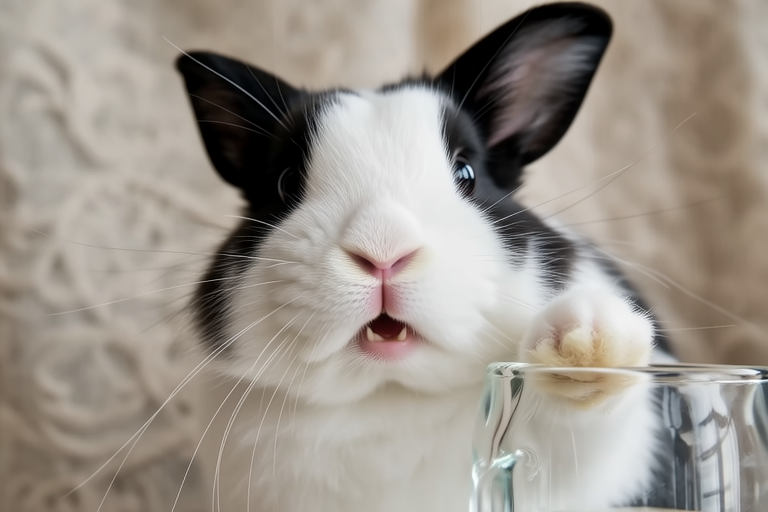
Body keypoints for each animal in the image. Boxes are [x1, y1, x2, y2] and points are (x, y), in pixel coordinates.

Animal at [175, 3, 675, 511]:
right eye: (285, 182)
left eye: (466, 173)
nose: (384, 252)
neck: (391, 394)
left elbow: (590, 425)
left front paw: (584, 339)